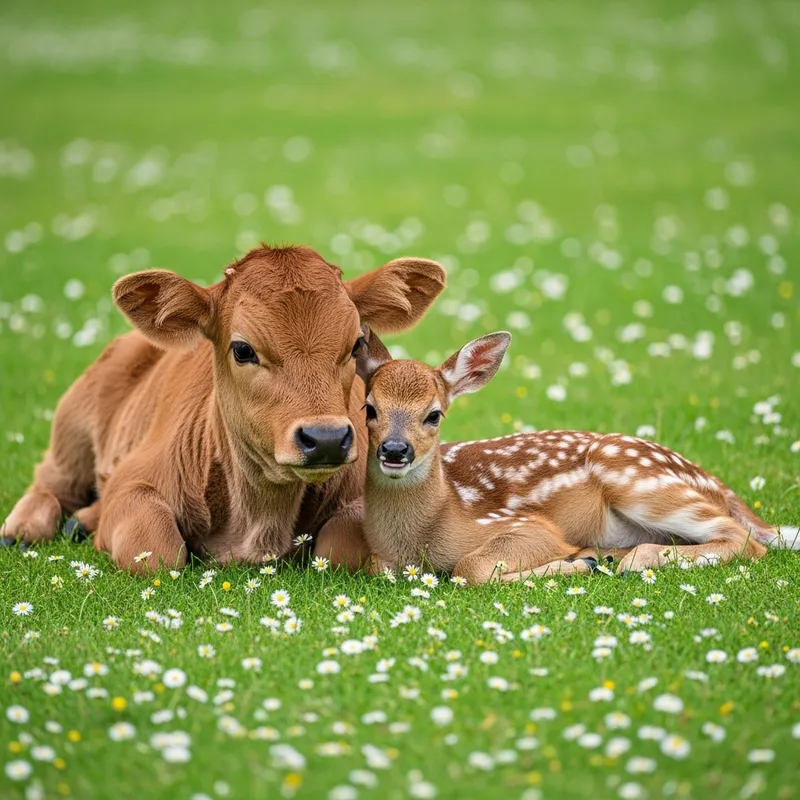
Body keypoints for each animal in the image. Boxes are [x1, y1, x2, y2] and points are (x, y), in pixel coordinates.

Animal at [1, 245, 446, 573]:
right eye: (243, 349)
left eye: (356, 345)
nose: (325, 439)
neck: (259, 521)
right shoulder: (132, 482)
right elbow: (156, 552)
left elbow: (340, 546)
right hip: (72, 431)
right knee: (50, 483)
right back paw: (22, 529)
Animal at [354, 328, 799, 584]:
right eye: (369, 408)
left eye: (434, 414)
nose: (395, 450)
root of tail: (714, 483)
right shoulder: (381, 561)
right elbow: (376, 566)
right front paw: (583, 559)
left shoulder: (528, 524)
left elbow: (471, 568)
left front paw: (575, 562)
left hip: (637, 480)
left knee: (745, 538)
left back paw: (625, 560)